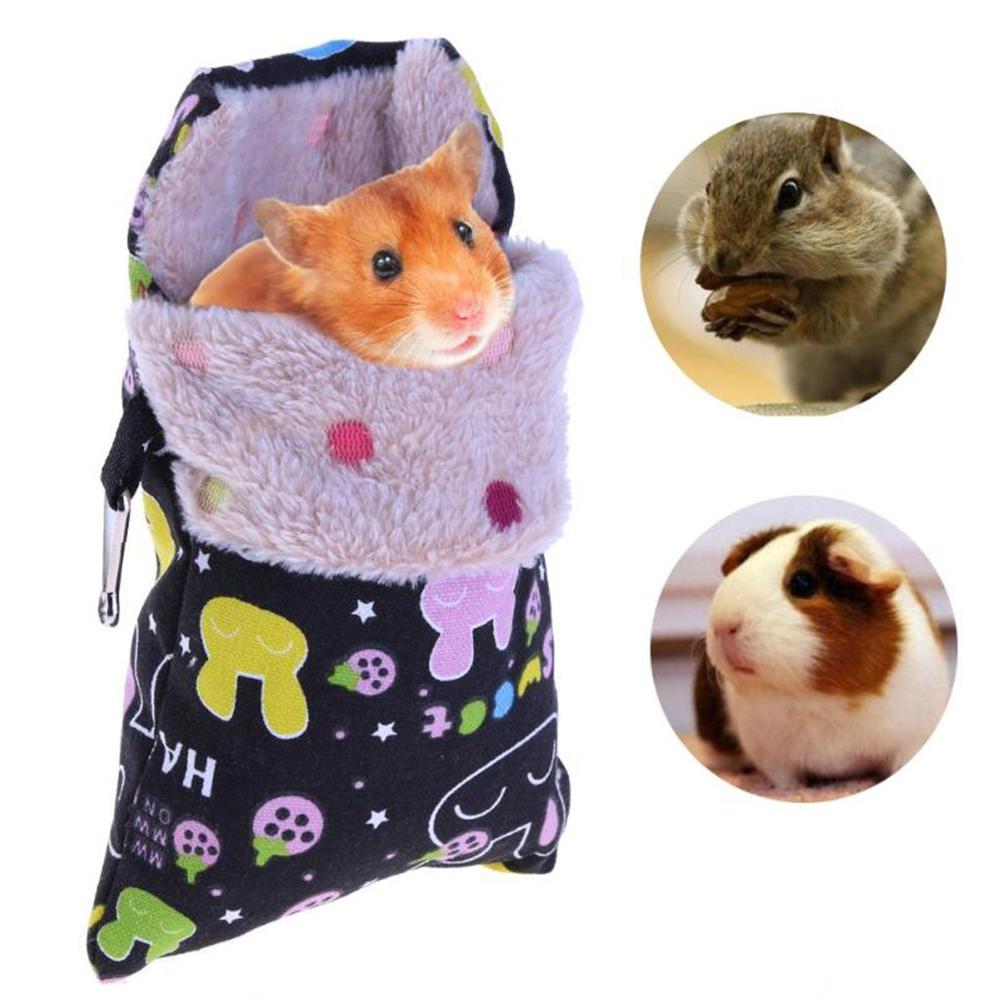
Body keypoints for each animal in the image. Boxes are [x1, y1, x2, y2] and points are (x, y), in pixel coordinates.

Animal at [678, 115, 945, 402]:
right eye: (709, 188)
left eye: (790, 193)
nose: (722, 262)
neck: (803, 280)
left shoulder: (872, 278)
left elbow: (834, 325)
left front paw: (782, 321)